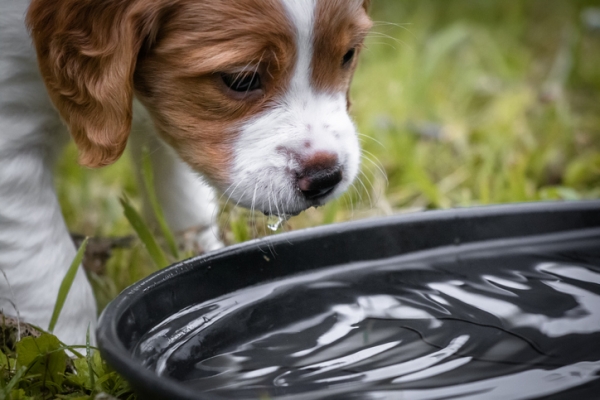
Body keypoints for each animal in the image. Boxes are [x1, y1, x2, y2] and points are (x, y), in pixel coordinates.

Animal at [0, 0, 370, 344]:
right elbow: (45, 268)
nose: (325, 177)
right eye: (241, 79)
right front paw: (72, 348)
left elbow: (182, 202)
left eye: (348, 55)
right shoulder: (10, 136)